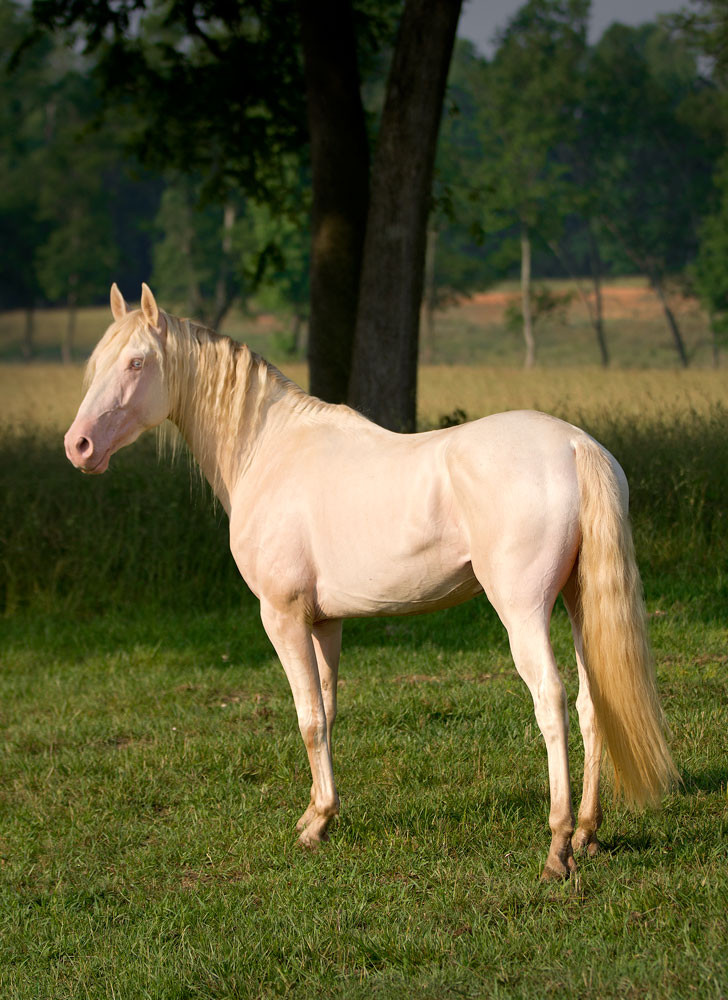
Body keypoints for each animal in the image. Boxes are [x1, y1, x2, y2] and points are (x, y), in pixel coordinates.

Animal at [65, 286, 680, 880]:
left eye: (137, 362)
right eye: (98, 362)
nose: (79, 447)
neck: (269, 449)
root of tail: (575, 446)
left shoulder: (281, 616)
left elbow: (308, 718)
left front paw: (314, 826)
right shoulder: (324, 622)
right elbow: (328, 711)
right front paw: (319, 814)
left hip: (524, 610)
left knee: (550, 701)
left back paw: (557, 848)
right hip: (578, 604)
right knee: (592, 706)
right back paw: (587, 834)